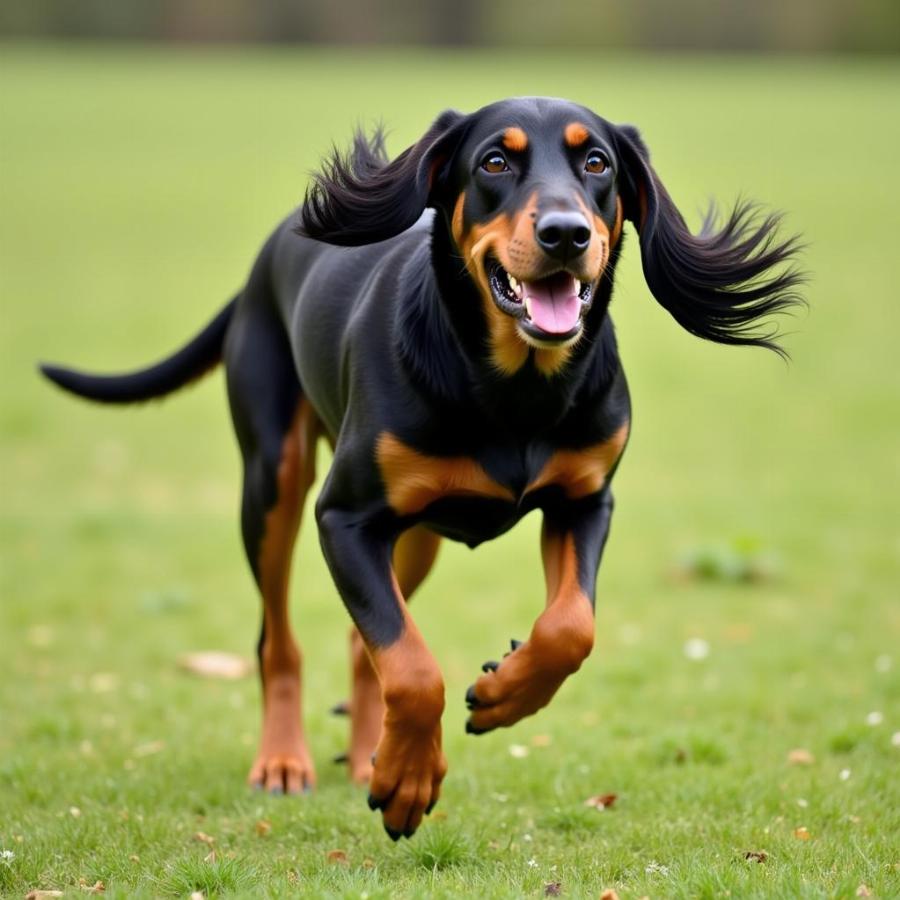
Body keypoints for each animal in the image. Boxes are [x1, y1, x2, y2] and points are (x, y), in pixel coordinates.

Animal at [40, 100, 800, 844]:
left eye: (596, 163)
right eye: (493, 162)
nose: (565, 233)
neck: (514, 385)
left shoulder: (584, 501)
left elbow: (569, 627)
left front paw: (500, 696)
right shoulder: (344, 520)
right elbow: (410, 665)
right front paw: (409, 781)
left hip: (418, 536)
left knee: (360, 639)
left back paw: (368, 753)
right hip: (274, 484)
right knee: (278, 641)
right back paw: (285, 762)